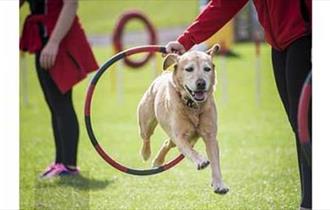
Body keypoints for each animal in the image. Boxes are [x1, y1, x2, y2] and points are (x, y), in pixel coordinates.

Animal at [137, 44, 229, 194]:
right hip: (146, 122)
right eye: (189, 69)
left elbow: (215, 161)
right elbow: (190, 151)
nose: (201, 83)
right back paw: (146, 153)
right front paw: (200, 161)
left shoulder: (210, 136)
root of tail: (162, 75)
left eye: (207, 69)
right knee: (146, 137)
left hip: (185, 137)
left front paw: (219, 184)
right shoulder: (180, 136)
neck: (192, 105)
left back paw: (158, 161)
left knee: (167, 143)